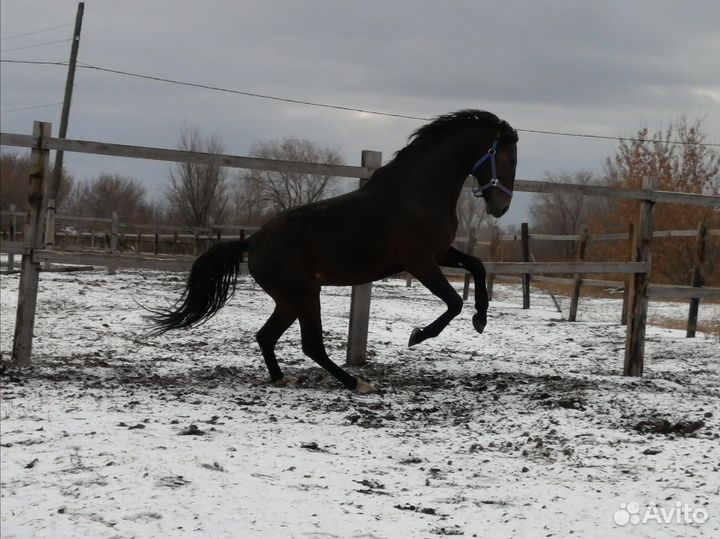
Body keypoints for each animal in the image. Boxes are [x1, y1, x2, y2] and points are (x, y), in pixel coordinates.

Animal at [150, 109, 518, 393]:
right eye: (507, 158)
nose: (501, 208)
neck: (418, 193)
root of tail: (252, 241)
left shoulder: (440, 253)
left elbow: (478, 266)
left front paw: (481, 320)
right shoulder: (420, 262)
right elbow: (453, 302)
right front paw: (417, 336)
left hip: (289, 300)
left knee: (266, 336)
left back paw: (282, 379)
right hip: (304, 294)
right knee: (310, 345)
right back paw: (358, 384)